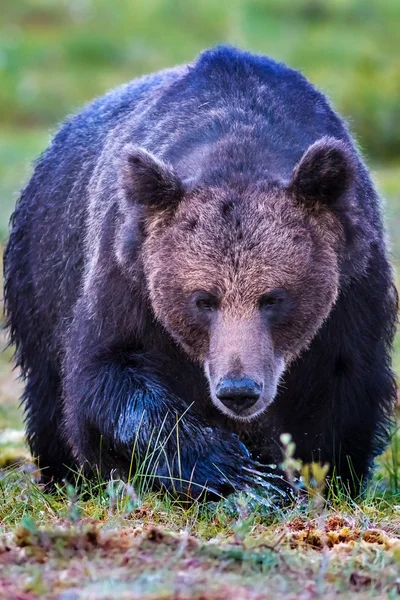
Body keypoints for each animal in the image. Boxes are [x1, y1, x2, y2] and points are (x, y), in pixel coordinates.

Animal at [3, 45, 396, 496]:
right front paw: (236, 471)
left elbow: (344, 389)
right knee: (48, 390)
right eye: (204, 300)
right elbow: (107, 376)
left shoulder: (353, 289)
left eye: (274, 298)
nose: (238, 390)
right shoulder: (128, 275)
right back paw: (66, 475)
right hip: (42, 273)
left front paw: (312, 477)